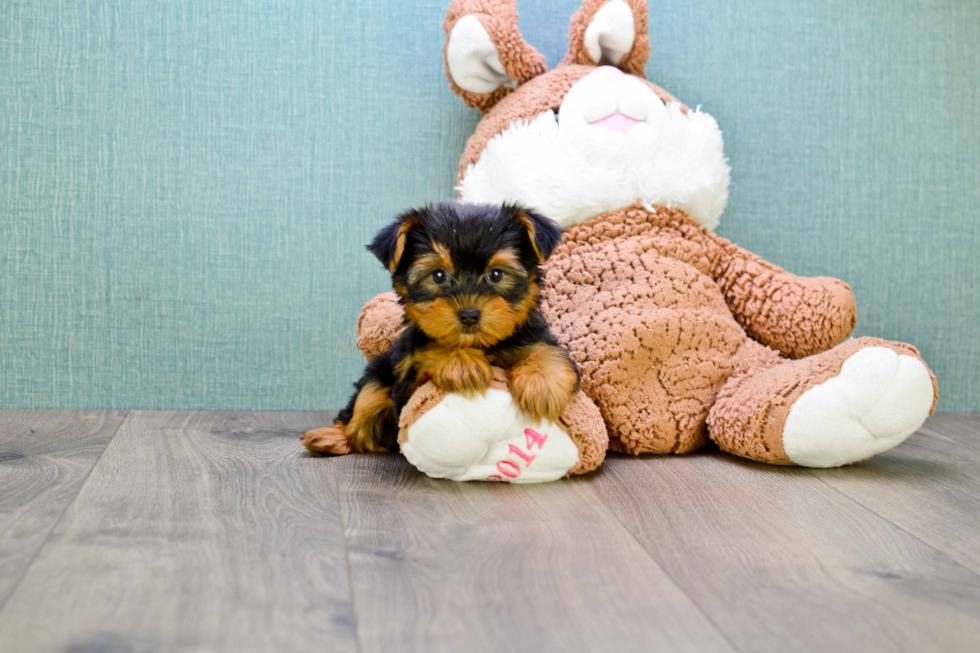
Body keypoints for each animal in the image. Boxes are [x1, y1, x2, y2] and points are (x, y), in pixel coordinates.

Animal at [302, 201, 580, 456]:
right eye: (438, 276)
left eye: (496, 275)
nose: (468, 314)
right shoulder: (405, 386)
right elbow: (429, 353)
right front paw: (460, 362)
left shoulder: (533, 335)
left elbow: (548, 351)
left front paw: (541, 383)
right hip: (378, 373)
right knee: (362, 407)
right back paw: (333, 437)